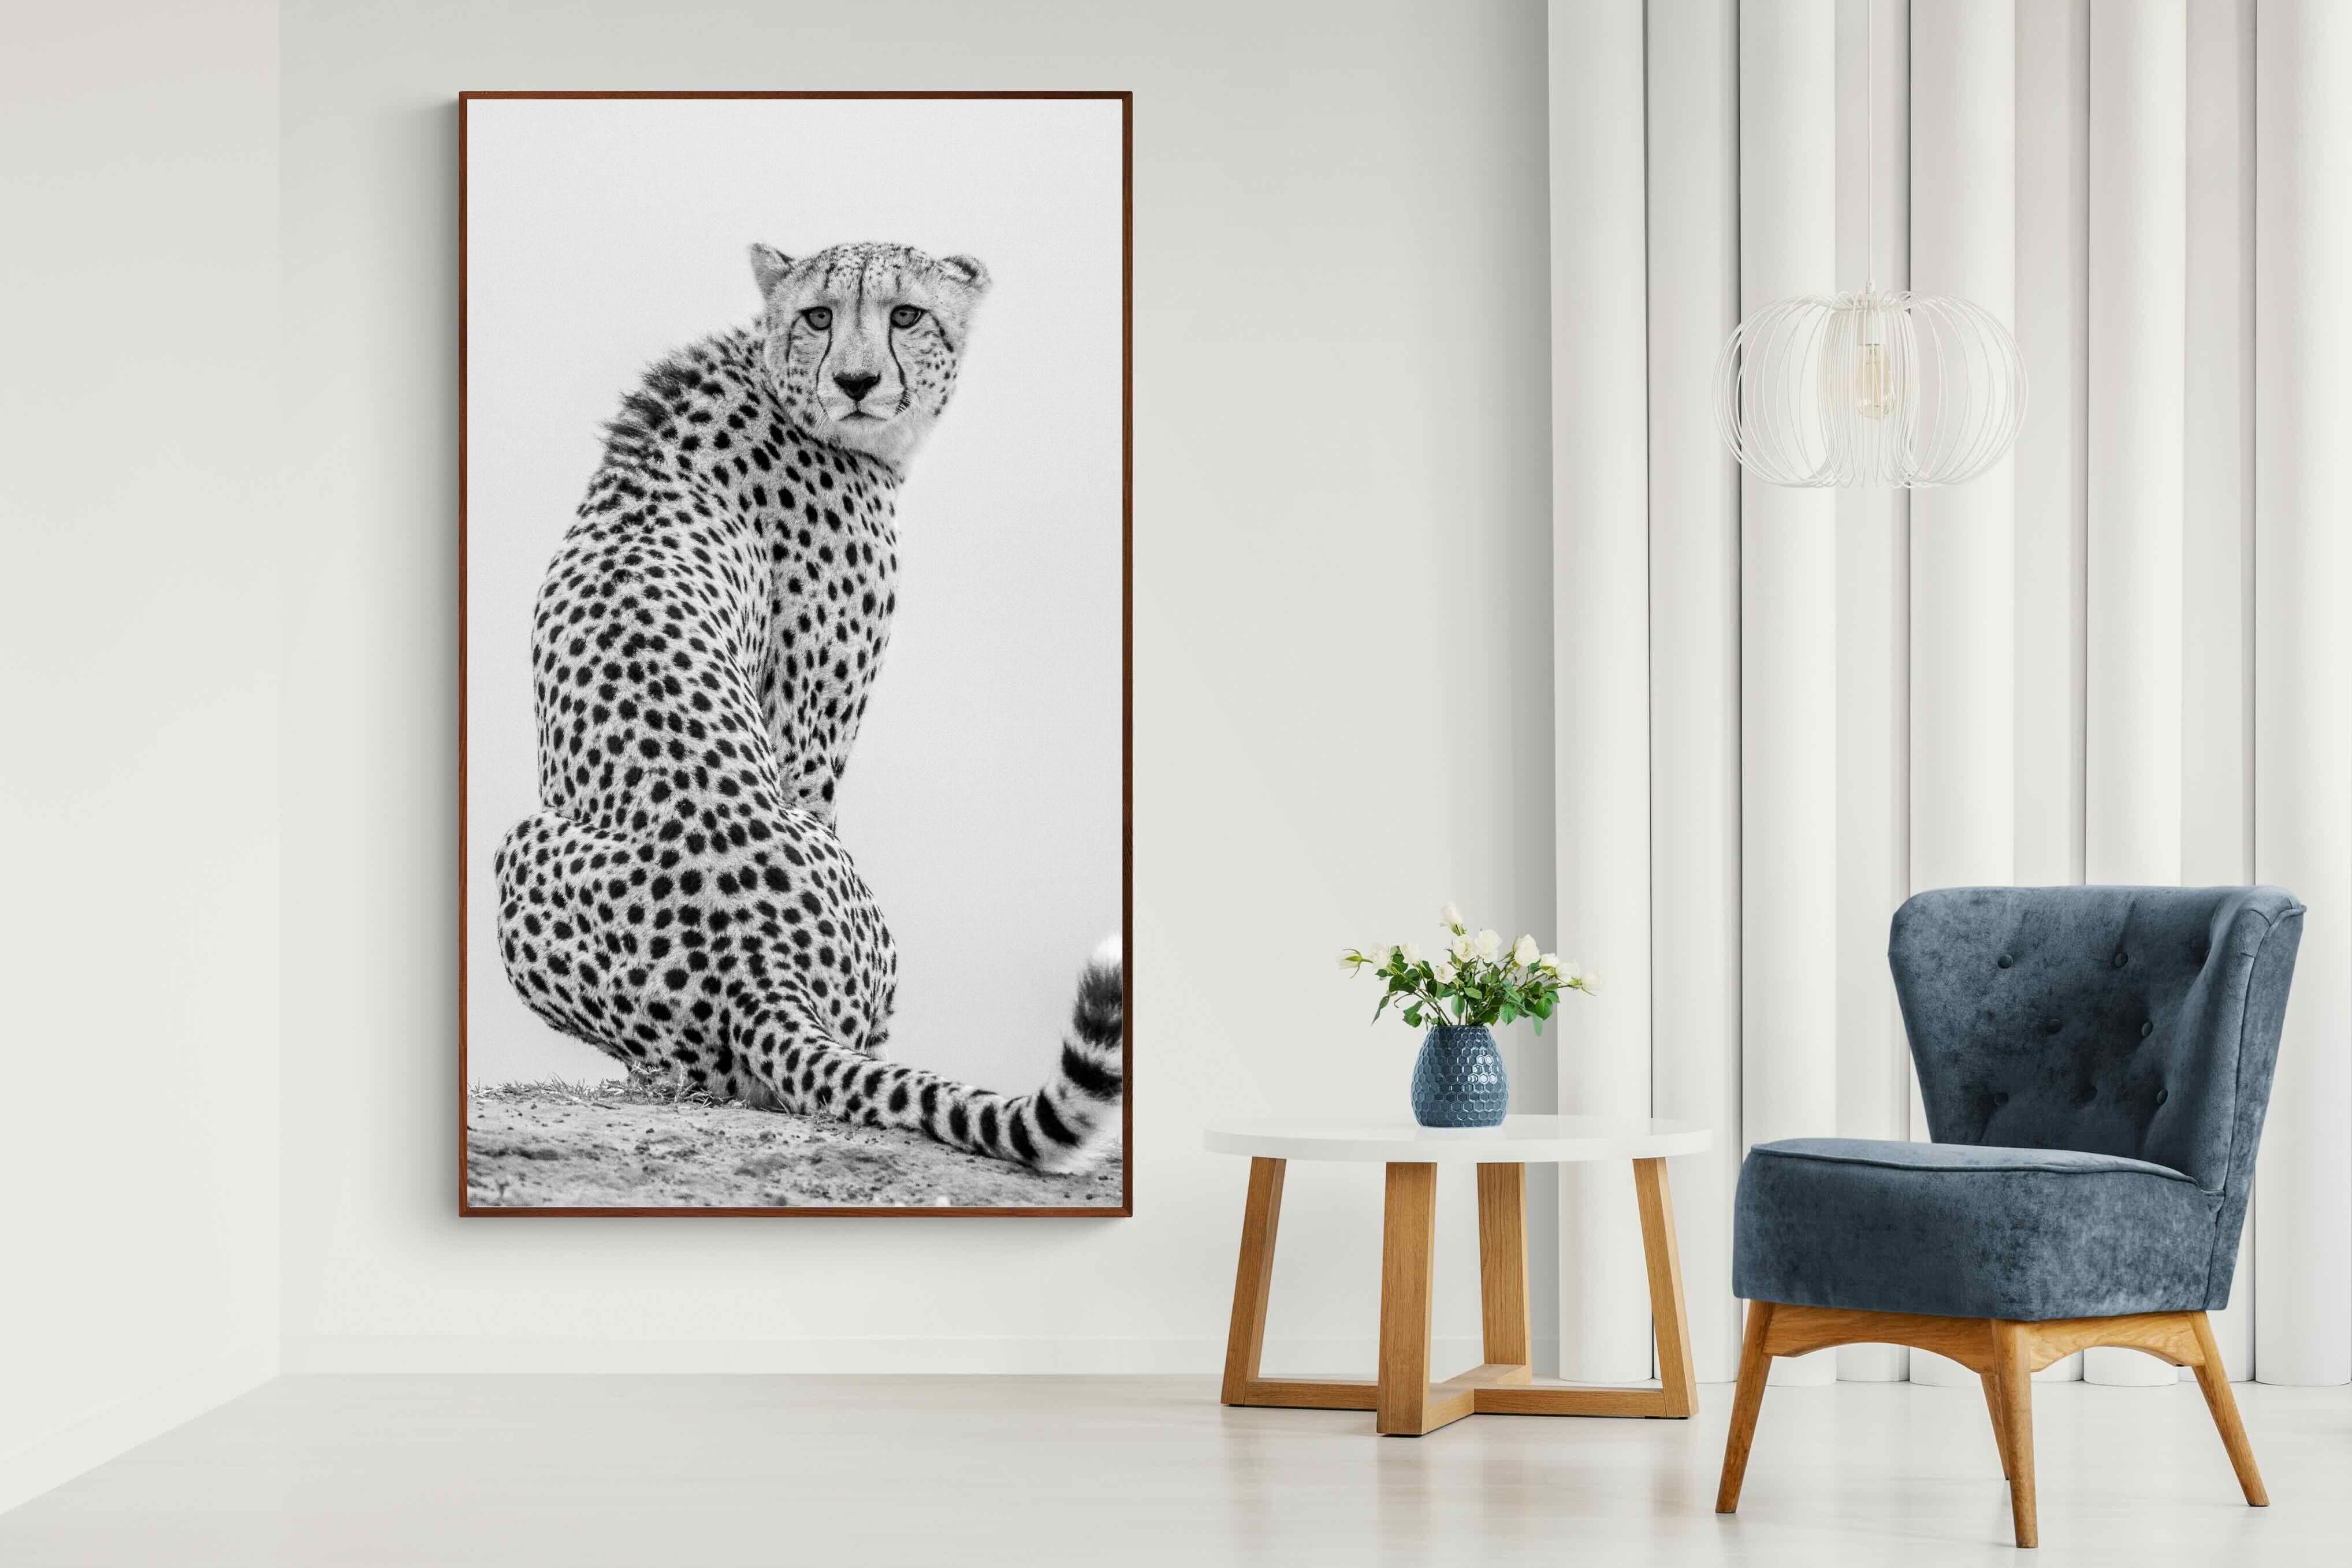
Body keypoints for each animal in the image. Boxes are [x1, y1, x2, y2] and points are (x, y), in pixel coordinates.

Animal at [492, 239, 1123, 1177]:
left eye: (906, 314)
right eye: (819, 315)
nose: (858, 381)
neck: (772, 378)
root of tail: (758, 967)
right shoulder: (810, 734)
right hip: (525, 846)